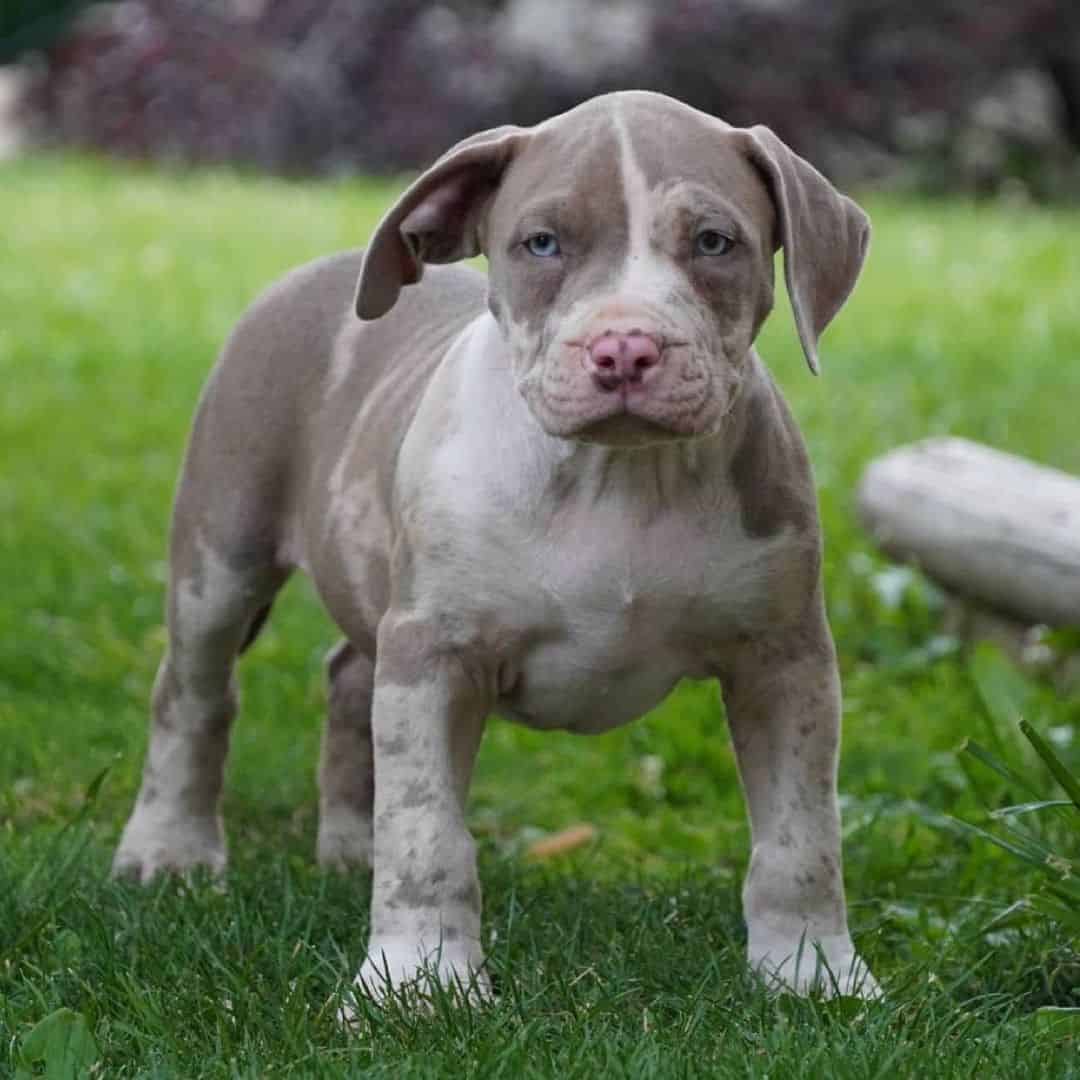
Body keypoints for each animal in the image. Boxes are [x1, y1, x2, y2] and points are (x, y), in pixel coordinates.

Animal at [113, 90, 876, 1002]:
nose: (625, 349)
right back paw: (169, 850)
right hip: (222, 554)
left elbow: (802, 838)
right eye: (541, 243)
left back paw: (349, 847)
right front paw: (415, 984)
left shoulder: (783, 658)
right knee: (194, 693)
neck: (618, 477)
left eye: (713, 242)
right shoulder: (435, 652)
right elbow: (426, 837)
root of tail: (321, 268)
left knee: (346, 679)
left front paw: (812, 973)